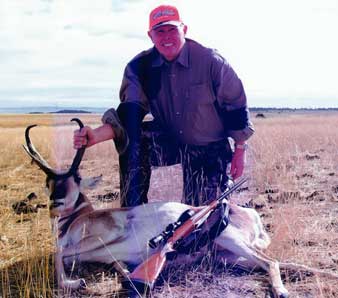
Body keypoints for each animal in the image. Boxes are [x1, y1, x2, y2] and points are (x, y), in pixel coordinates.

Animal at [24, 119, 338, 298]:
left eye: (76, 178)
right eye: (48, 181)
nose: (56, 202)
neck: (80, 217)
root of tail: (249, 215)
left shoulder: (108, 234)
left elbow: (58, 252)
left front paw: (76, 283)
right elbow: (93, 260)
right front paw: (122, 276)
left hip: (228, 240)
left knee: (271, 262)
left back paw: (282, 291)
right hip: (230, 257)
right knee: (276, 262)